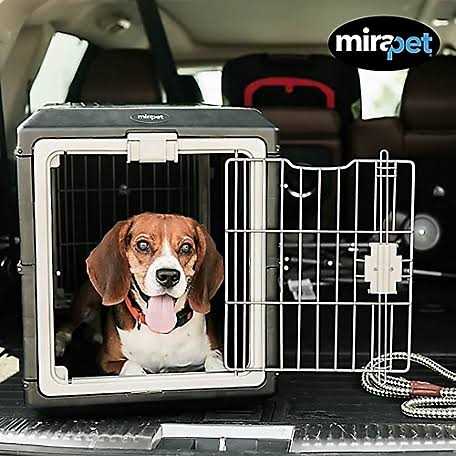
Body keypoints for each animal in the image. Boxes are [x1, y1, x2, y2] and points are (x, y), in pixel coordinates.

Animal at [55, 213, 225, 376]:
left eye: (186, 247)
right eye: (143, 245)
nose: (168, 276)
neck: (162, 332)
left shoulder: (215, 350)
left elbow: (214, 360)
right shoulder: (106, 360)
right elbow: (132, 364)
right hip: (86, 304)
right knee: (67, 325)